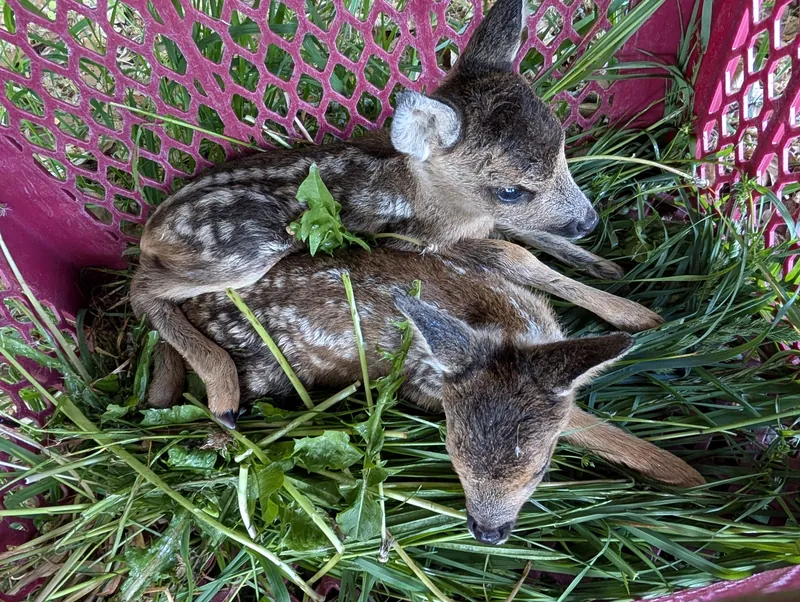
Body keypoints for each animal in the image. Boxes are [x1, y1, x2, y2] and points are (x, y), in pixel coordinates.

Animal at [131, 0, 663, 428]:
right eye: (511, 189)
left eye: (563, 147)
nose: (589, 223)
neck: (440, 204)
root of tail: (151, 228)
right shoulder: (422, 242)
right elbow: (512, 254)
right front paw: (637, 314)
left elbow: (527, 243)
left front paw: (611, 275)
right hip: (247, 249)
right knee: (144, 291)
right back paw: (215, 394)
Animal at [147, 247, 705, 545]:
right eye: (453, 457)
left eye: (540, 470)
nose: (487, 533)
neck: (505, 329)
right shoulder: (429, 388)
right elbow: (586, 425)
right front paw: (684, 474)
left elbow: (520, 256)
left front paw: (640, 316)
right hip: (261, 377)